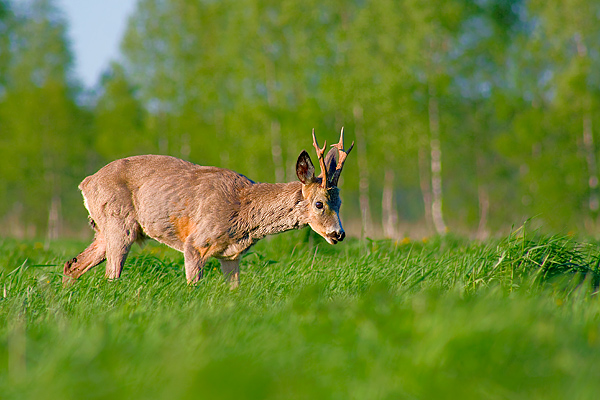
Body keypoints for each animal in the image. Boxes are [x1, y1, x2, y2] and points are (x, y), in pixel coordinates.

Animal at [63, 128, 353, 288]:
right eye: (319, 203)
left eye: (339, 203)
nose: (338, 234)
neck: (244, 212)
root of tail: (86, 183)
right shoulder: (195, 243)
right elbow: (194, 287)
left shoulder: (231, 256)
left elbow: (235, 291)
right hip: (118, 223)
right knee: (111, 276)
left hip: (104, 229)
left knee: (71, 265)